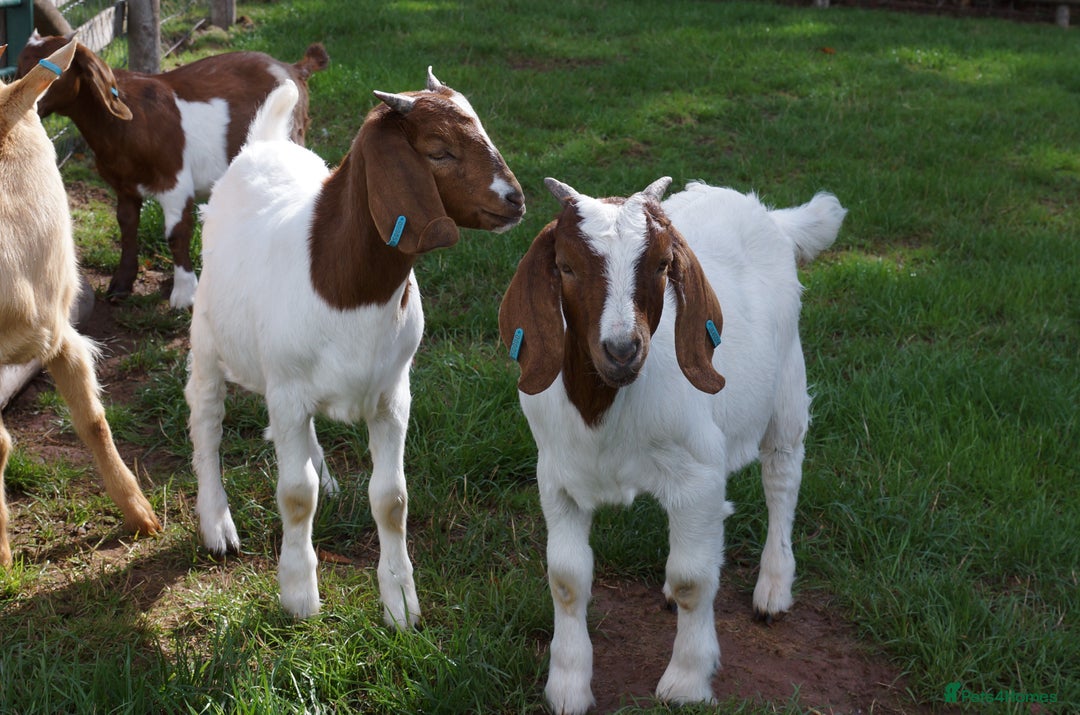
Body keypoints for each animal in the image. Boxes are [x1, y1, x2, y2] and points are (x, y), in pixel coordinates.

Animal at [15, 34, 330, 309]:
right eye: (18, 66)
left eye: (58, 70)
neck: (125, 124)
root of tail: (294, 67)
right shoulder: (124, 185)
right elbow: (127, 226)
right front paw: (120, 286)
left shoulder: (174, 181)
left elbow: (176, 234)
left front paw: (184, 295)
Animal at [185, 72, 525, 621]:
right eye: (438, 150)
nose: (514, 199)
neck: (345, 285)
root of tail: (263, 145)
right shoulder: (288, 391)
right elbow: (294, 494)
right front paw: (299, 596)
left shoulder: (391, 395)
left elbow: (391, 498)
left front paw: (401, 604)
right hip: (208, 340)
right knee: (207, 420)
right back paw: (217, 524)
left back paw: (324, 476)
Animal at [499, 177, 845, 713]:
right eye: (566, 266)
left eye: (663, 264)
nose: (622, 349)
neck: (606, 408)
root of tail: (765, 213)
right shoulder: (557, 478)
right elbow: (567, 580)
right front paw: (568, 687)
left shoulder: (697, 478)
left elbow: (692, 579)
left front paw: (686, 681)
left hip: (787, 383)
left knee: (782, 477)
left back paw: (773, 587)